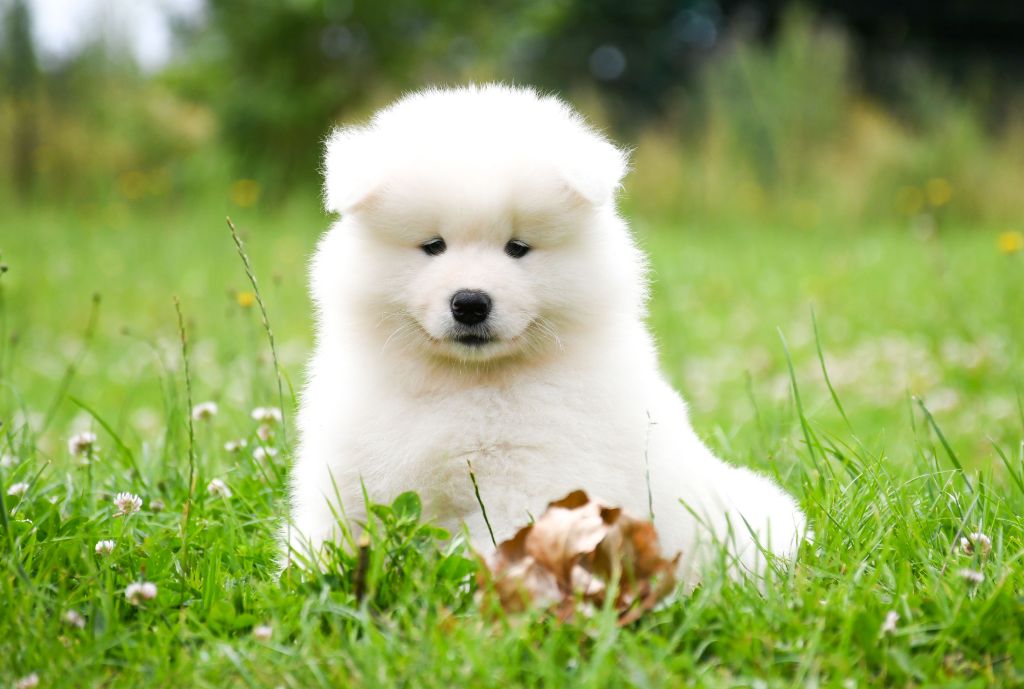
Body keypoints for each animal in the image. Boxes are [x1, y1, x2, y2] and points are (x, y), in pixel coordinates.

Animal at [287, 84, 806, 586]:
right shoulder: (348, 467)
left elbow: (501, 550)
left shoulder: (531, 481)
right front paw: (307, 580)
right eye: (433, 246)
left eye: (517, 248)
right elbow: (329, 532)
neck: (463, 382)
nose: (470, 302)